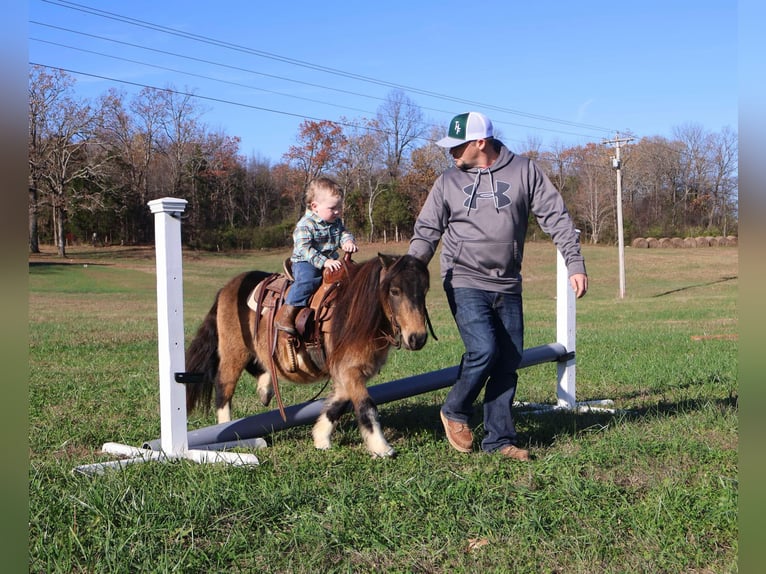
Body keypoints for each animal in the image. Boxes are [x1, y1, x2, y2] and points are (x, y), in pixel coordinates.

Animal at [184, 254, 432, 462]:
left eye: (425, 290)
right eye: (395, 291)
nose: (417, 338)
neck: (354, 313)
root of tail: (227, 289)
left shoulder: (349, 371)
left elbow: (337, 404)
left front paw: (321, 438)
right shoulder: (348, 370)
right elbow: (366, 406)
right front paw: (382, 448)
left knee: (259, 366)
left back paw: (265, 390)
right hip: (233, 350)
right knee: (224, 387)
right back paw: (226, 431)